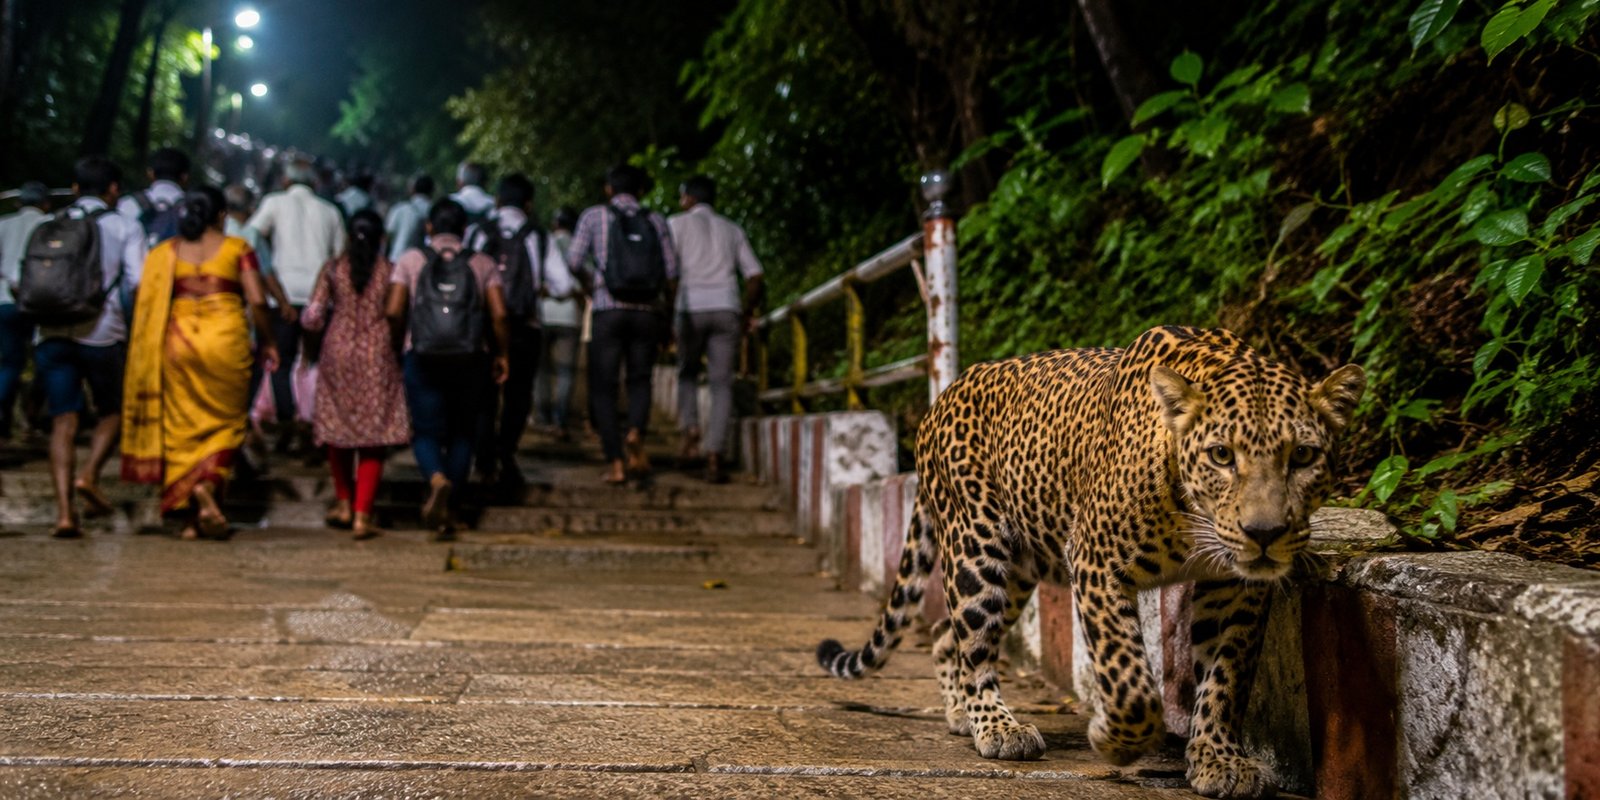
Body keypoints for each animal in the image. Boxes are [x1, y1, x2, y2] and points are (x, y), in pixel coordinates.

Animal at [817, 326, 1365, 799]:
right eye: (1221, 455)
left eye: (1303, 455)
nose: (1264, 534)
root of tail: (942, 398)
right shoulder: (1096, 561)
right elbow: (1128, 678)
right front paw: (1115, 740)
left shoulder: (1235, 588)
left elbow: (1226, 677)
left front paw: (1218, 760)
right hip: (978, 545)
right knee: (974, 640)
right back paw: (996, 727)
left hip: (1020, 569)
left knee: (943, 634)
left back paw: (961, 714)